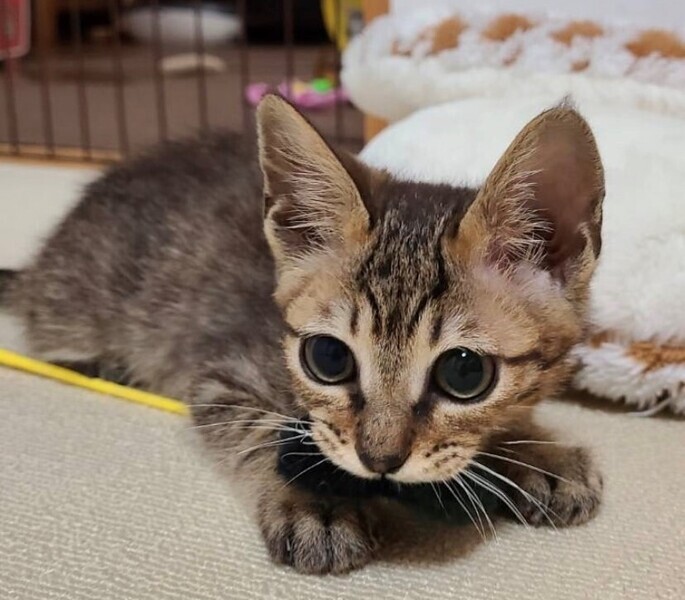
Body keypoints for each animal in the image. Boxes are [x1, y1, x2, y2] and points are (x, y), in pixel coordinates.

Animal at [2, 95, 605, 574]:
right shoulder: (220, 374)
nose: (379, 460)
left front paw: (533, 452)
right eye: (329, 358)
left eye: (465, 373)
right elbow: (267, 432)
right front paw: (314, 501)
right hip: (75, 305)